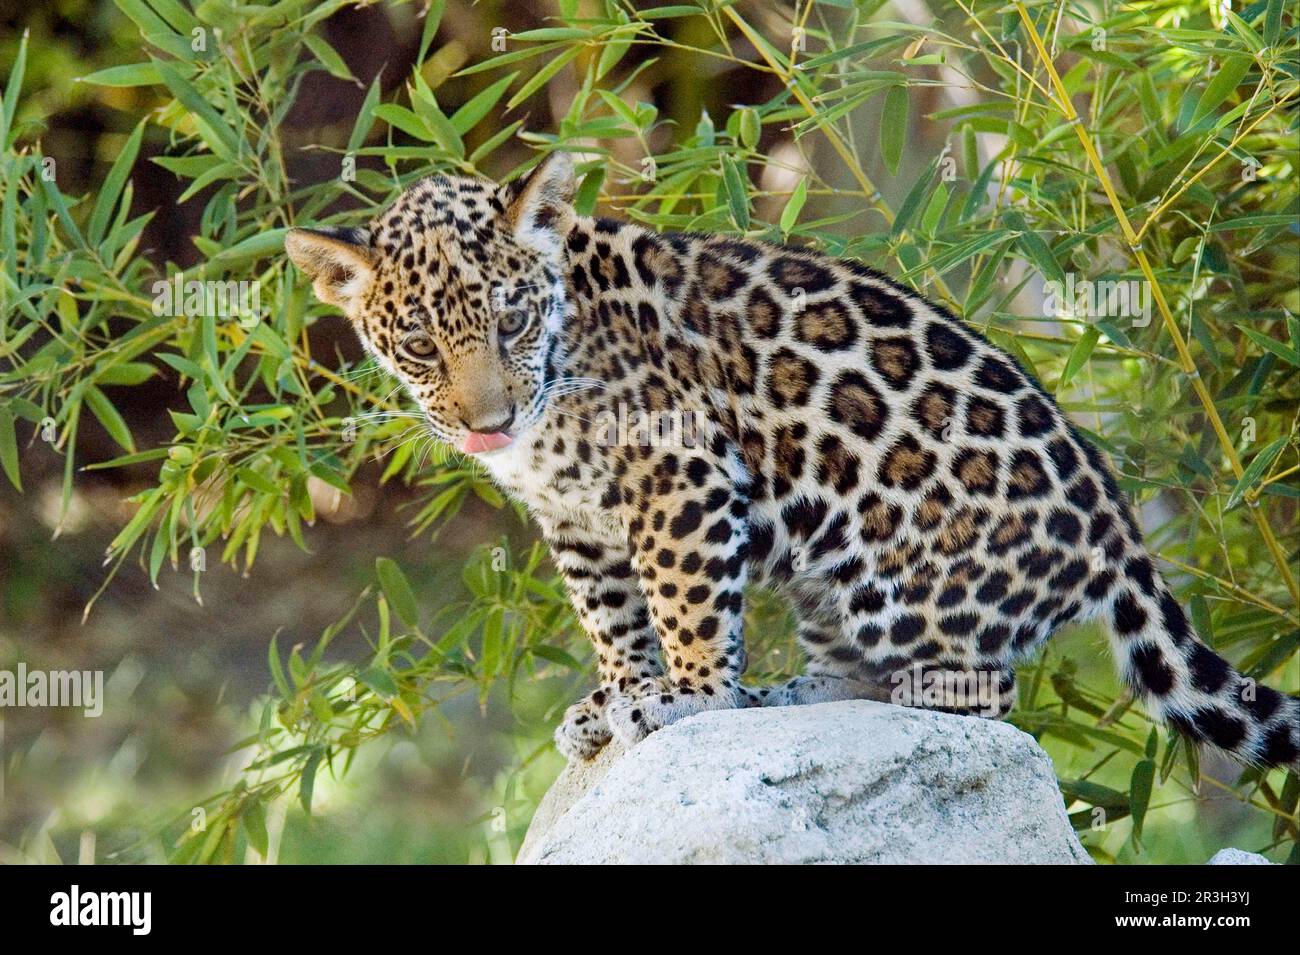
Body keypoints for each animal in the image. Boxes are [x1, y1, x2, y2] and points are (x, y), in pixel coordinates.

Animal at [286, 151, 1300, 771]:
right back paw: (785, 697)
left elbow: (681, 600)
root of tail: (1119, 539)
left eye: (512, 319)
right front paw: (619, 693)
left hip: (892, 575)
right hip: (828, 584)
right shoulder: (572, 516)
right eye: (419, 342)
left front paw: (686, 696)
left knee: (985, 692)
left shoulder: (680, 471)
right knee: (853, 673)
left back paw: (852, 698)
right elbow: (610, 615)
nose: (488, 424)